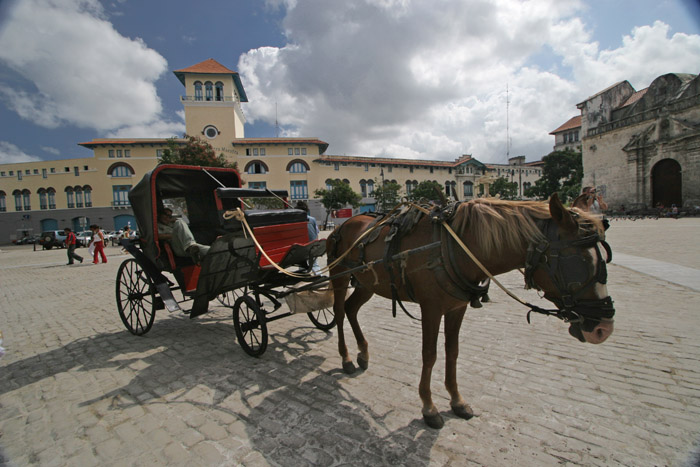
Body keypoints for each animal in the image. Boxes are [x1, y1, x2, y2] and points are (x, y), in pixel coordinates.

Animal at [326, 193, 616, 428]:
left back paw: (363, 352)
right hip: (340, 277)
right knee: (339, 313)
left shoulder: (457, 308)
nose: (604, 329)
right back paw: (346, 358)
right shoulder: (431, 309)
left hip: (367, 283)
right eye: (578, 261)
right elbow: (429, 355)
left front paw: (456, 400)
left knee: (351, 309)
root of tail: (344, 225)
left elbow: (452, 352)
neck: (452, 245)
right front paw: (429, 407)